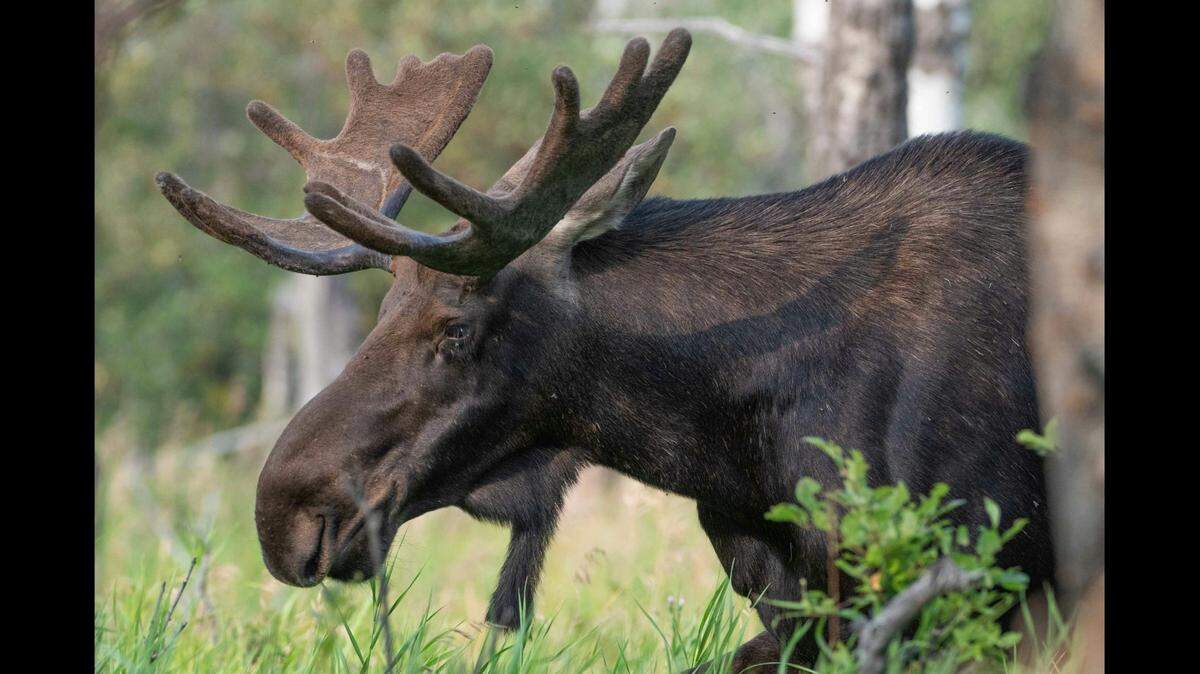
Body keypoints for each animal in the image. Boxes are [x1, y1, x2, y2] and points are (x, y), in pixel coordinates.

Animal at [157, 29, 1054, 670]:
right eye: (381, 313)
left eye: (457, 330)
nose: (283, 511)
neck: (729, 446)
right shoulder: (791, 596)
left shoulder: (970, 575)